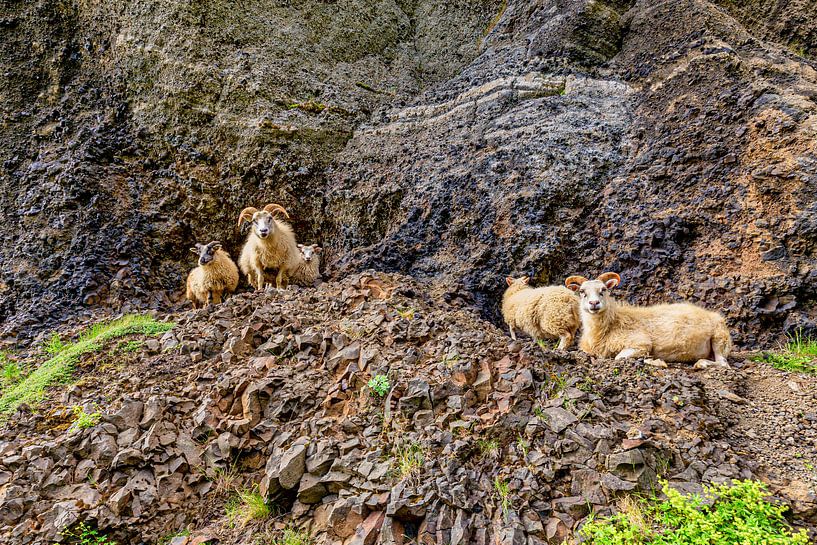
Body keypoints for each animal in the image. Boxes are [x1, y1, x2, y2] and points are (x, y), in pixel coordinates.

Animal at [564, 272, 732, 367]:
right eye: (582, 291)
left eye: (603, 290)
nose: (594, 303)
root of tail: (713, 315)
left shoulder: (641, 344)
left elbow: (618, 357)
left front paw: (653, 360)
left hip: (719, 339)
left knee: (723, 364)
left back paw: (699, 363)